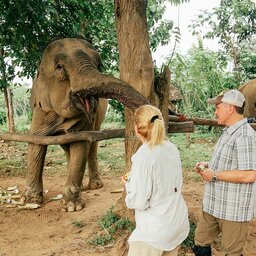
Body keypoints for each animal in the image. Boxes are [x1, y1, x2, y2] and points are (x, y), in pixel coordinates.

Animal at [23, 36, 150, 212]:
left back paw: (95, 185)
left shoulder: (87, 120)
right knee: (67, 147)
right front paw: (31, 202)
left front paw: (71, 207)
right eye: (59, 67)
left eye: (99, 64)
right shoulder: (41, 109)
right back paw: (82, 186)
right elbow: (36, 141)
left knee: (92, 144)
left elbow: (81, 143)